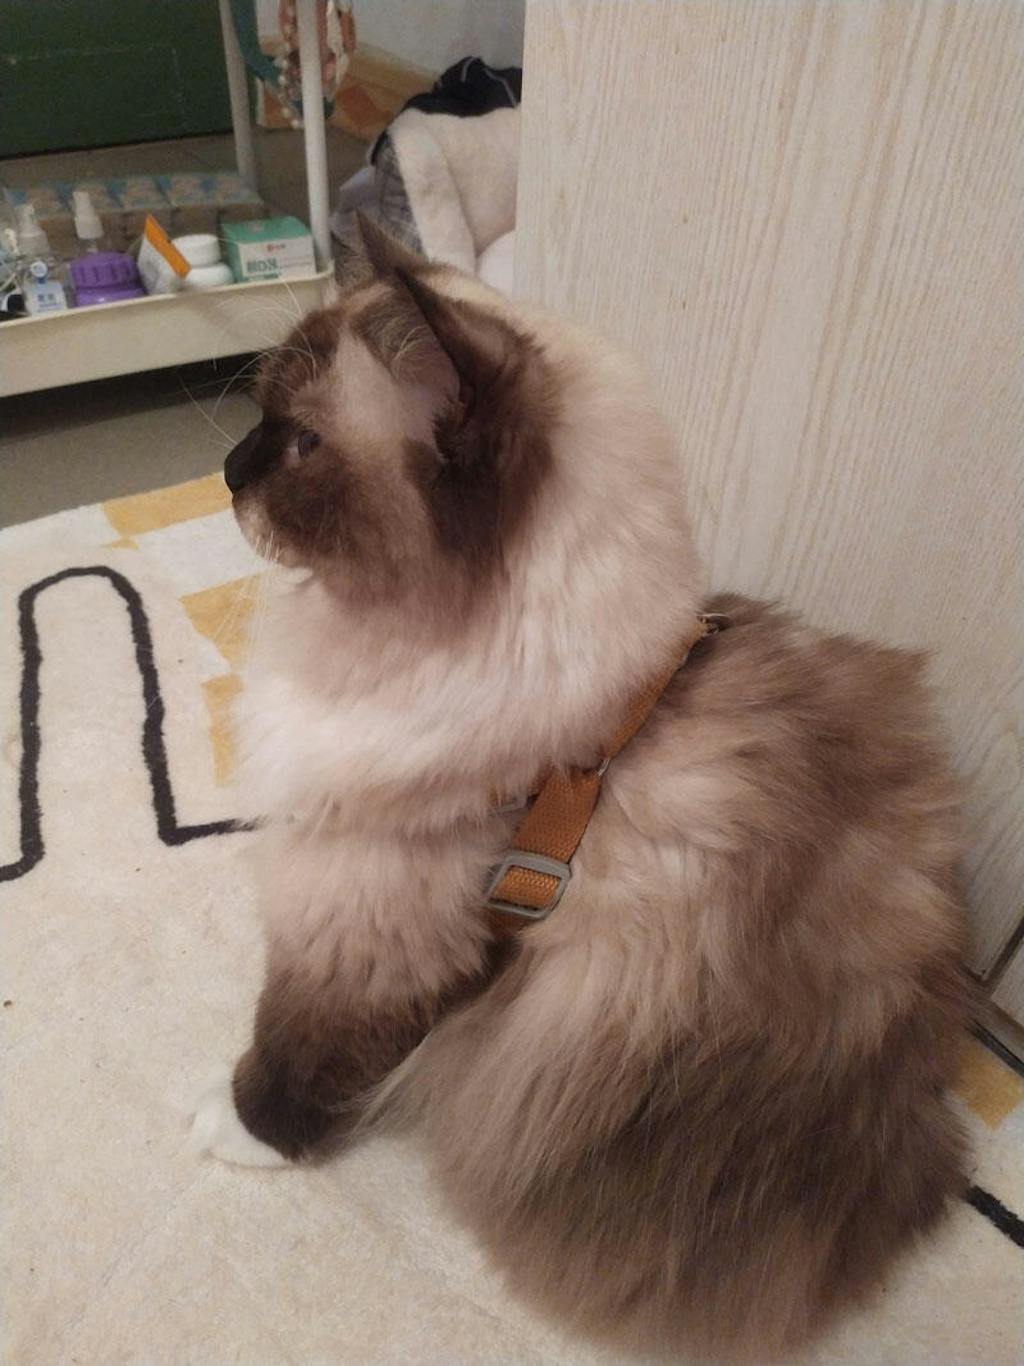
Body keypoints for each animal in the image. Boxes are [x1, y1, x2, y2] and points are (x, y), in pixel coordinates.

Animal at [191, 216, 973, 1358]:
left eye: (297, 445)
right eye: (260, 422)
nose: (223, 470)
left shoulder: (370, 930)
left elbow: (296, 1054)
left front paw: (232, 1128)